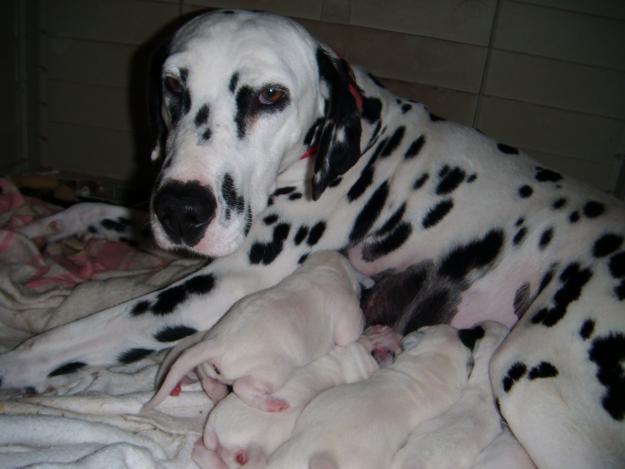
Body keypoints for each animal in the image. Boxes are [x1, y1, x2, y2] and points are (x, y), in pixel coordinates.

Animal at [146, 250, 366, 412]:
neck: (325, 269)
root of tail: (219, 343)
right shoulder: (346, 312)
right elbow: (349, 334)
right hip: (271, 370)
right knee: (242, 387)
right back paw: (271, 403)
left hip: (208, 366)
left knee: (209, 382)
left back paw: (217, 394)